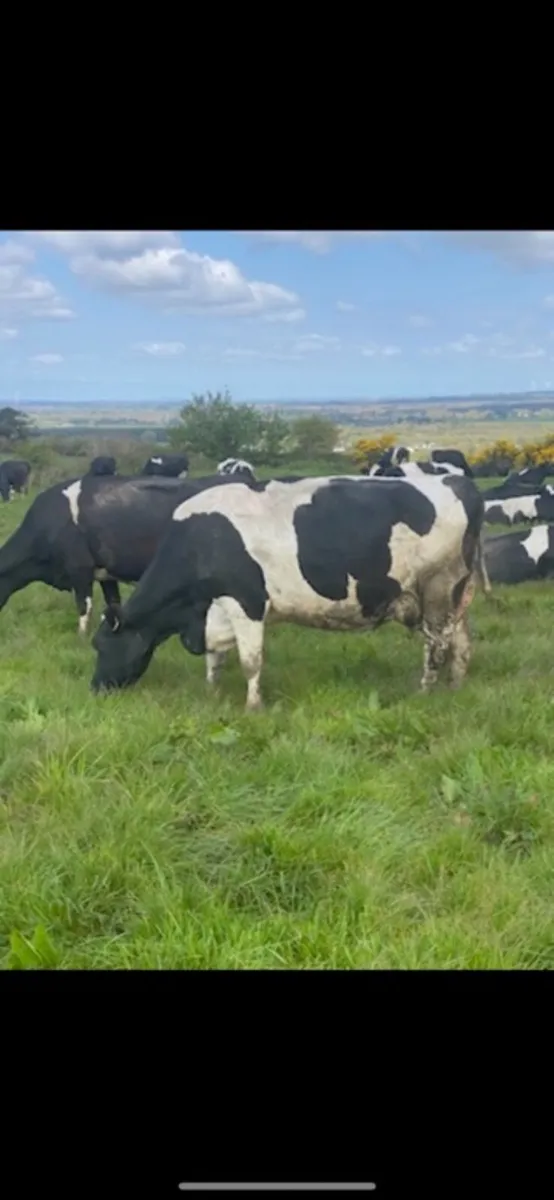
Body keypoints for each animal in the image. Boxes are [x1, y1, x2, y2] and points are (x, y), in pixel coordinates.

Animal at [90, 472, 484, 706]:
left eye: (101, 645)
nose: (96, 689)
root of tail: (455, 481)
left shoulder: (246, 602)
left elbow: (250, 661)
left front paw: (253, 706)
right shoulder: (212, 611)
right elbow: (215, 659)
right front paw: (212, 692)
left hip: (438, 588)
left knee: (437, 643)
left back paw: (425, 689)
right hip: (455, 595)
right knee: (462, 641)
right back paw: (455, 686)